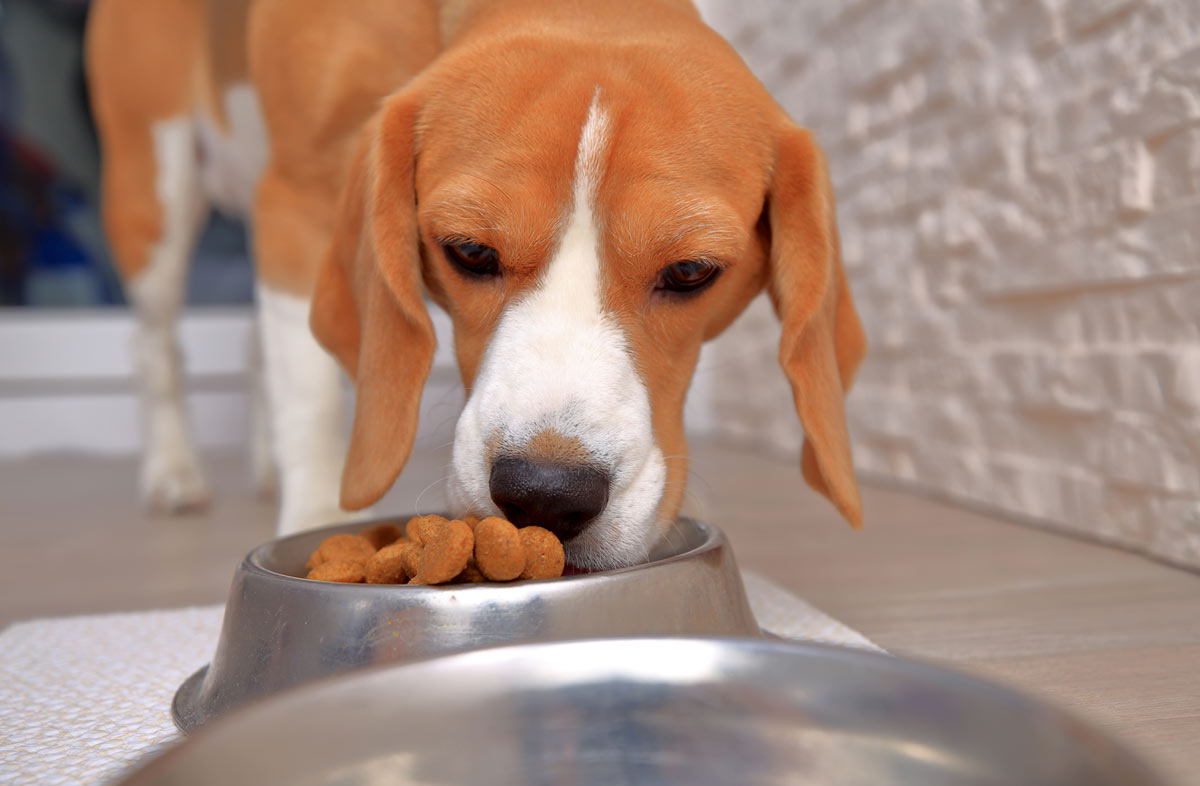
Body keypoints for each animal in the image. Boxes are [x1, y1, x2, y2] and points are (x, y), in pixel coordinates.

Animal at [88, 0, 868, 566]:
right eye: (468, 252)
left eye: (690, 272)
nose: (546, 495)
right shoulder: (296, 204)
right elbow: (310, 398)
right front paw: (316, 516)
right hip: (153, 190)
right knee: (154, 343)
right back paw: (173, 473)